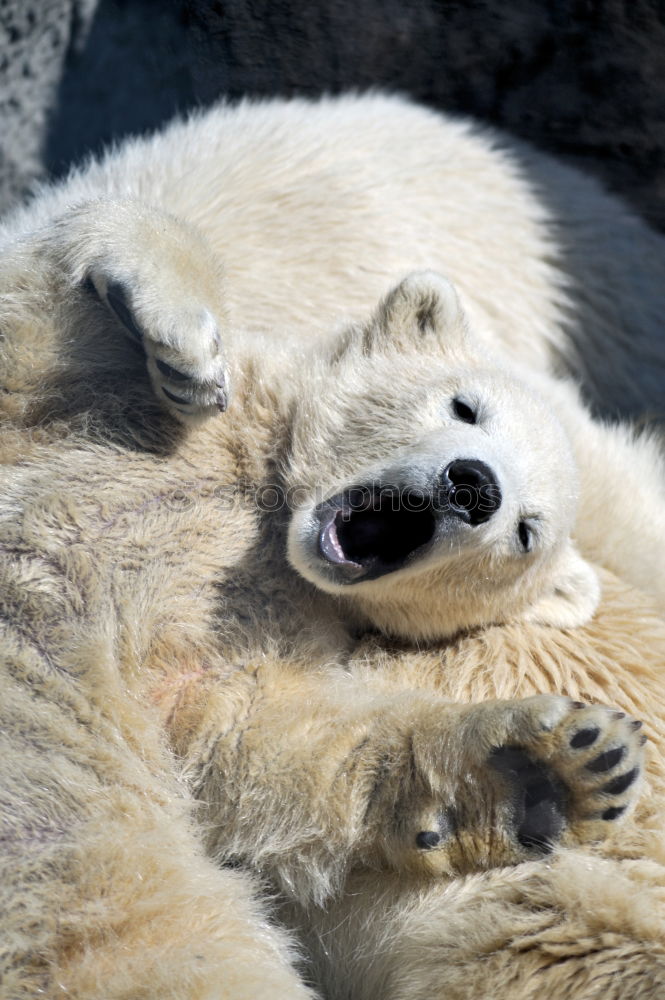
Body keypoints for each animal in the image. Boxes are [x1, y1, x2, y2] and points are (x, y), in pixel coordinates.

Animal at [1, 92, 664, 992]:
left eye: (526, 532)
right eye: (464, 406)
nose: (475, 486)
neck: (267, 516)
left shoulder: (245, 640)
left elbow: (258, 734)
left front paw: (542, 770)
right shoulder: (99, 417)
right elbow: (34, 329)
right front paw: (177, 331)